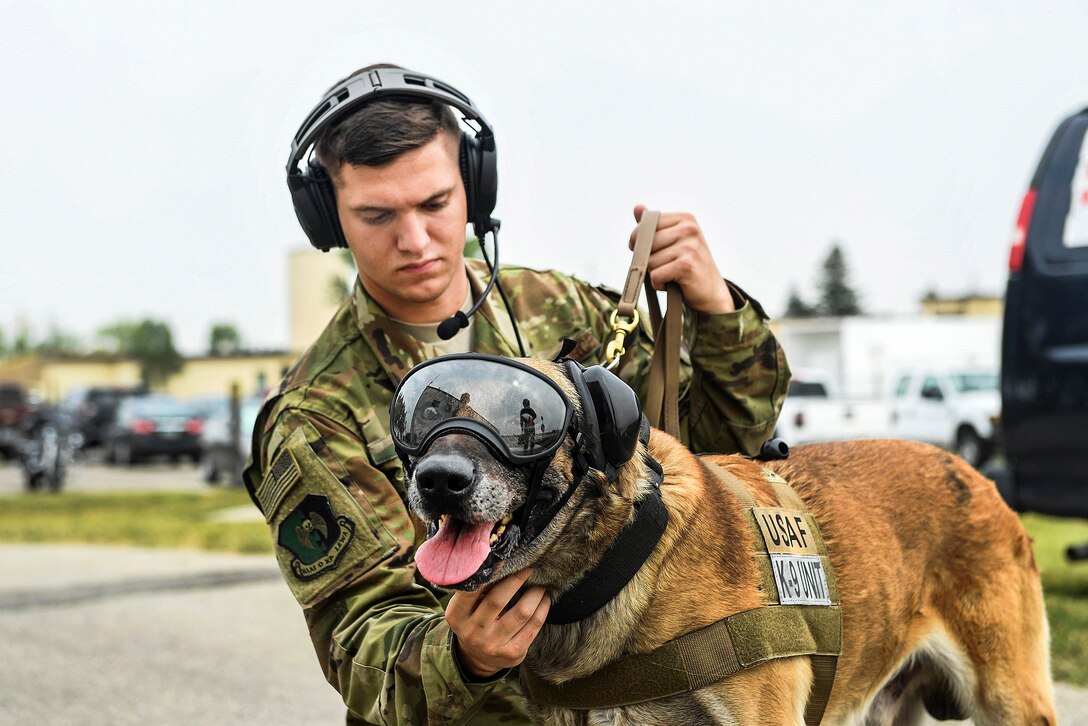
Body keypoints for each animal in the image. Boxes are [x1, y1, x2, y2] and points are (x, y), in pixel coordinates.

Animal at [393, 354, 1053, 722]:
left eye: (527, 416)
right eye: (424, 415)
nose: (438, 481)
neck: (625, 564)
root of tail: (979, 476)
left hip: (1010, 700)